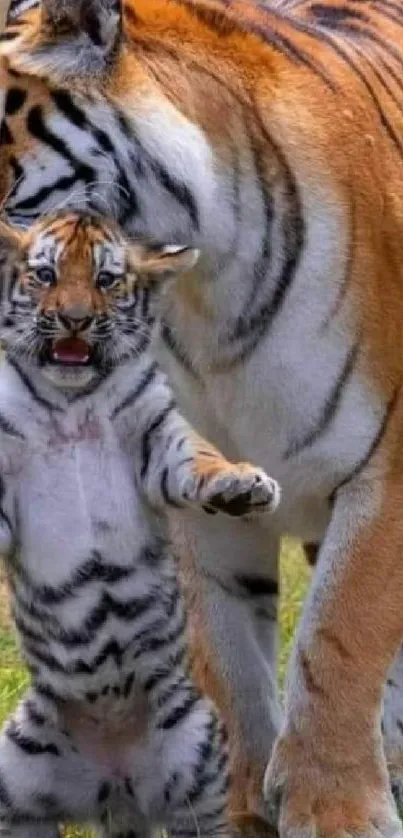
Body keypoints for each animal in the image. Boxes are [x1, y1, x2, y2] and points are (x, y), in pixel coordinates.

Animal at [0, 0, 403, 836]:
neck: (204, 290)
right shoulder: (191, 497)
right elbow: (230, 667)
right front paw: (244, 807)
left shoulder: (386, 469)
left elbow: (340, 638)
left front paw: (334, 811)